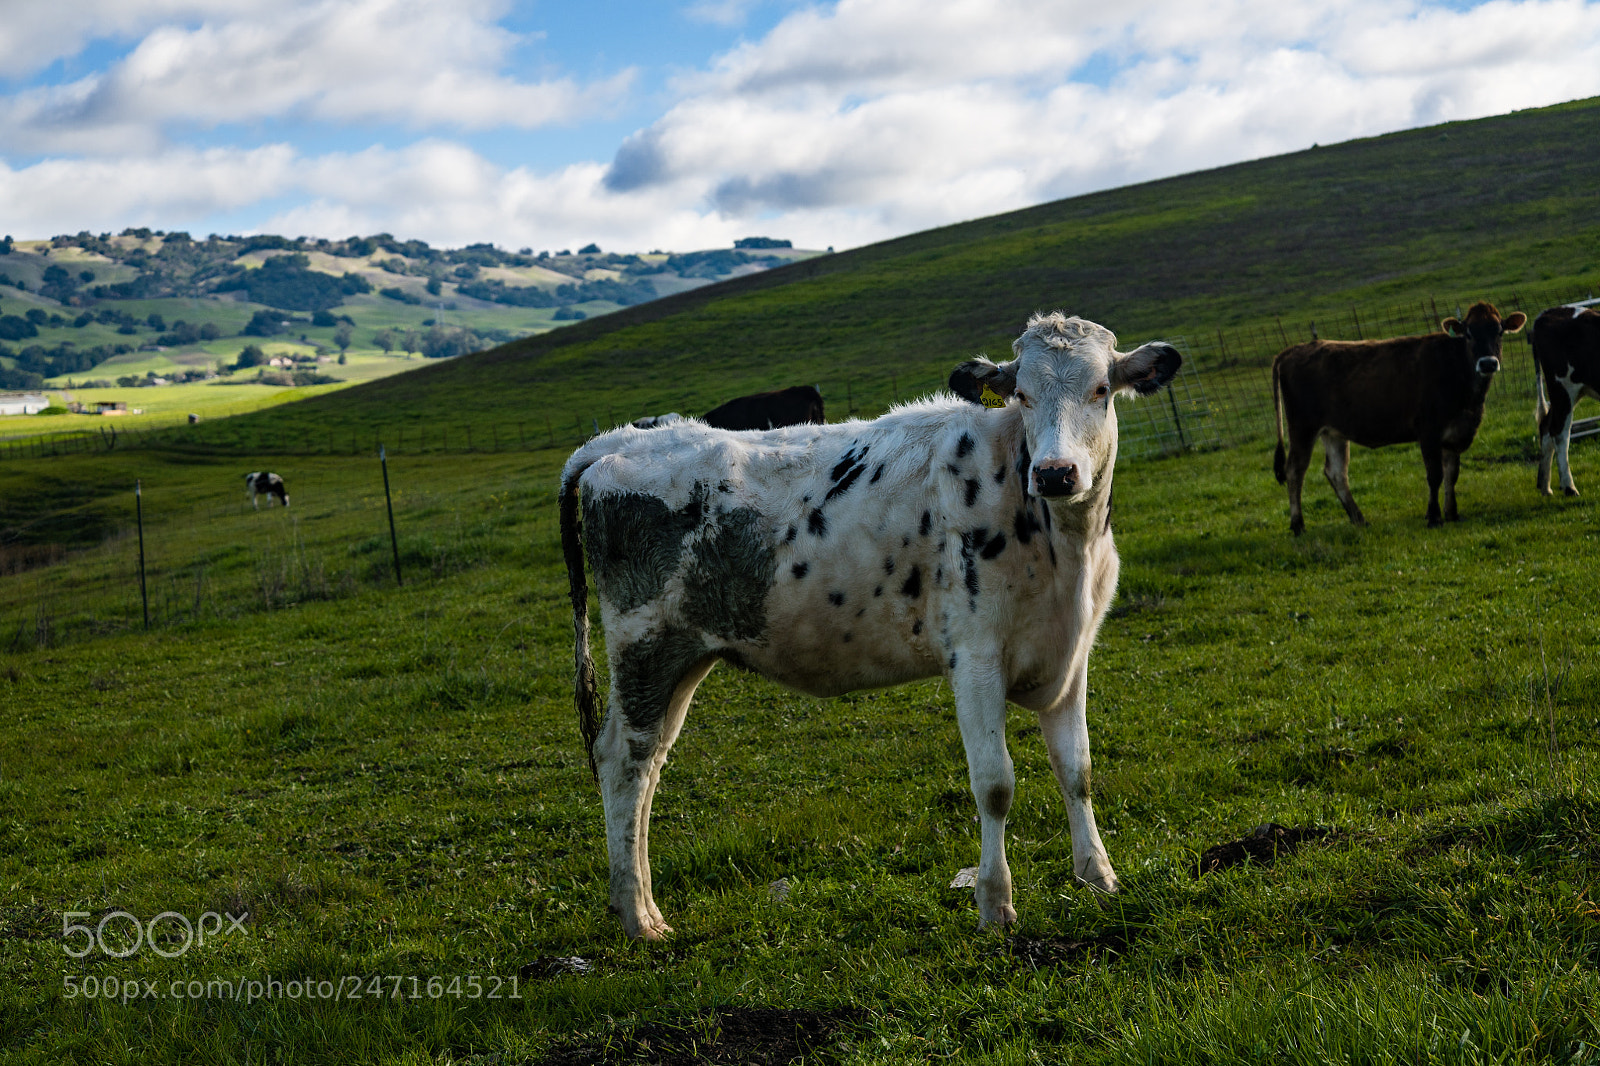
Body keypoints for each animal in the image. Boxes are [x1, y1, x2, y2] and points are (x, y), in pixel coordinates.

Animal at [559, 312, 1181, 939]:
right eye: (1023, 395)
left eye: (1101, 390)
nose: (1055, 473)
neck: (1064, 549)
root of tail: (619, 441)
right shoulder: (975, 657)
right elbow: (995, 783)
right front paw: (995, 903)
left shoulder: (1069, 654)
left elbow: (1076, 769)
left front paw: (1098, 877)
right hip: (643, 646)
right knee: (624, 761)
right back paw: (638, 915)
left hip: (684, 658)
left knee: (651, 763)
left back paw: (638, 903)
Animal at [1272, 301, 1526, 533]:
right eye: (1469, 334)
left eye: (1499, 331)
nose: (1488, 363)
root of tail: (1294, 349)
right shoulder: (1428, 430)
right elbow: (1435, 475)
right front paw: (1434, 517)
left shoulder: (1455, 433)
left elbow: (1452, 474)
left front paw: (1452, 513)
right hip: (1302, 427)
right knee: (1295, 470)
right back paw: (1298, 525)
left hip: (1333, 432)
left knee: (1336, 472)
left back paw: (1359, 519)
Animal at [1533, 304, 1600, 497]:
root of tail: (1547, 312)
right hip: (1563, 390)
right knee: (1560, 433)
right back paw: (1569, 487)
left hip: (1567, 394)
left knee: (1546, 427)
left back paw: (1545, 486)